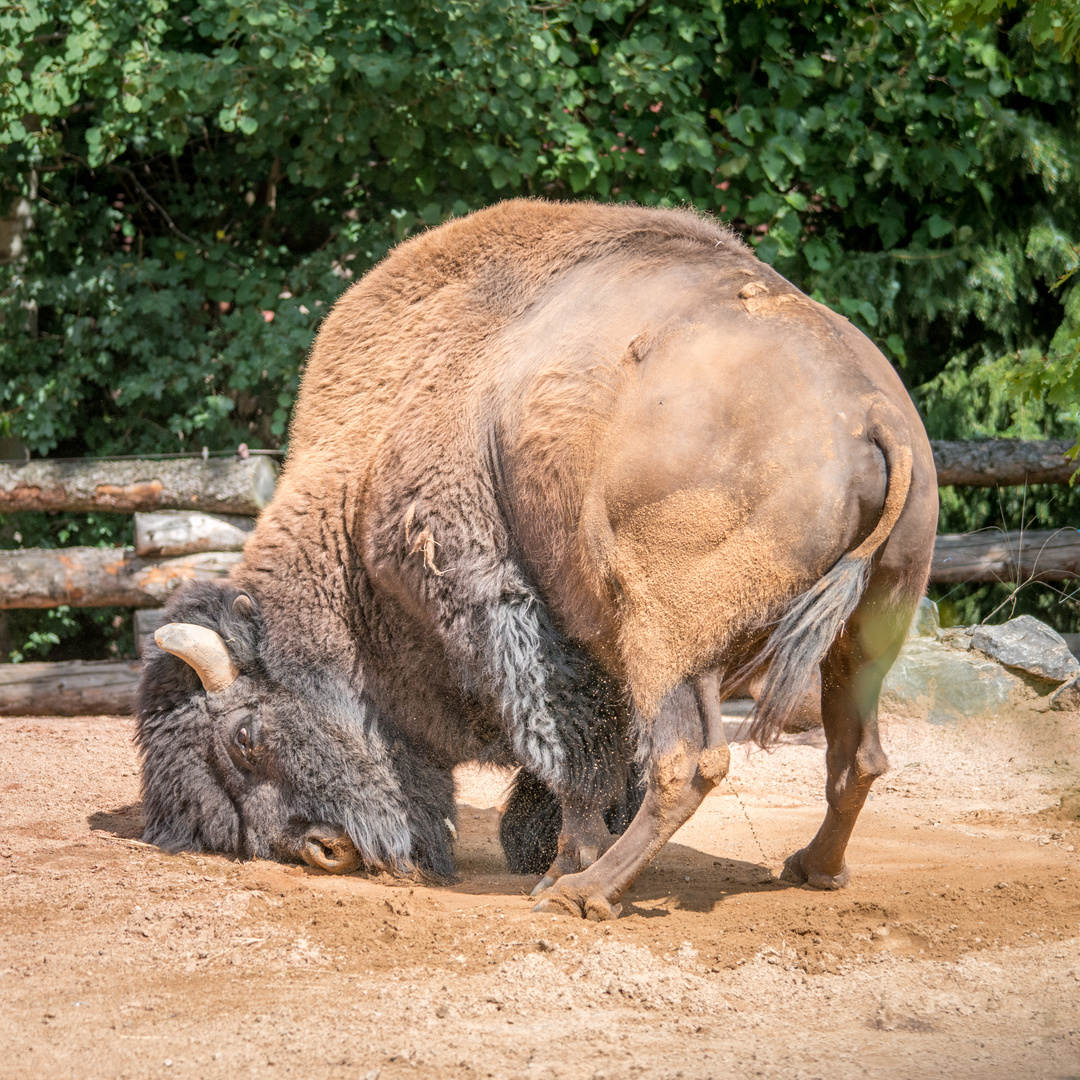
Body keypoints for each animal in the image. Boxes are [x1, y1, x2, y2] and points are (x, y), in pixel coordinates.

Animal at [139, 198, 937, 915]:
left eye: (244, 737)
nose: (322, 849)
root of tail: (870, 409)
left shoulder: (515, 620)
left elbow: (567, 747)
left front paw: (562, 861)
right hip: (868, 629)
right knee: (857, 756)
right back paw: (812, 869)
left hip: (666, 640)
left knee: (687, 760)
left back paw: (582, 894)